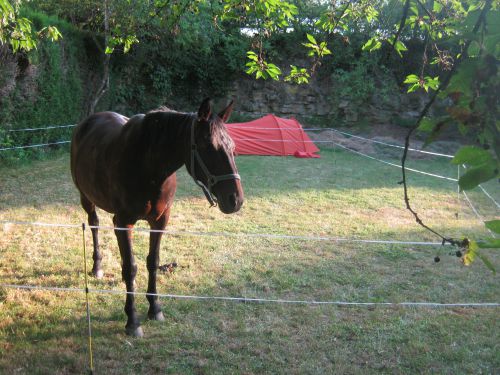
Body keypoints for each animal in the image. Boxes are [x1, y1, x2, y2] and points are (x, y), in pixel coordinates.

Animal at [71, 98, 244, 336]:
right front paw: (133, 321)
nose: (235, 200)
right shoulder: (123, 222)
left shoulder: (160, 220)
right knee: (94, 225)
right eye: (208, 147)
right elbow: (130, 268)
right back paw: (97, 267)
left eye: (233, 147)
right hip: (86, 198)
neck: (148, 165)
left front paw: (154, 309)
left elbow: (152, 262)